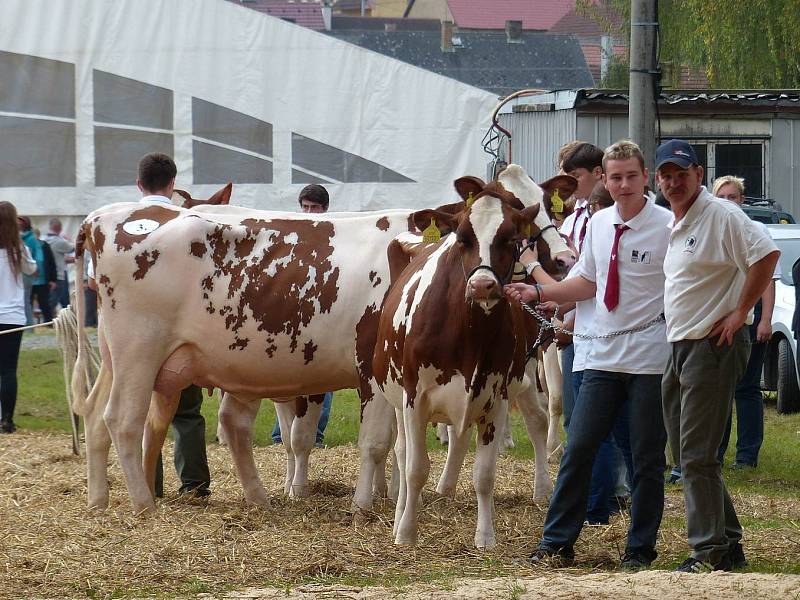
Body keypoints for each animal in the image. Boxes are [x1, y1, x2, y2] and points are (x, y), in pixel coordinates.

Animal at [374, 176, 568, 548]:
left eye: (510, 238)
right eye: (463, 238)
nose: (482, 285)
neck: (469, 331)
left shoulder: (495, 397)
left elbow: (484, 474)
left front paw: (485, 537)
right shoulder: (414, 399)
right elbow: (416, 468)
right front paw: (406, 533)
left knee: (529, 421)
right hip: (396, 397)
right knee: (403, 453)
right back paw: (402, 512)